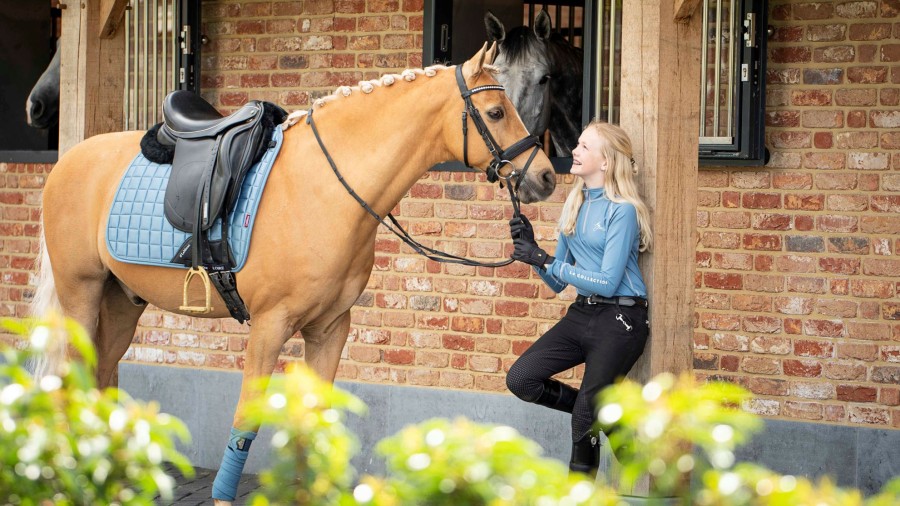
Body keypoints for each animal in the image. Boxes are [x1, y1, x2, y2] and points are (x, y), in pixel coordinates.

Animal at [33, 45, 556, 504]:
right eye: (495, 112)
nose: (547, 176)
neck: (326, 188)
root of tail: (68, 160)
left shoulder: (329, 328)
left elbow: (315, 425)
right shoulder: (270, 326)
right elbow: (246, 420)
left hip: (121, 304)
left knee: (100, 378)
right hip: (81, 296)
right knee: (69, 383)